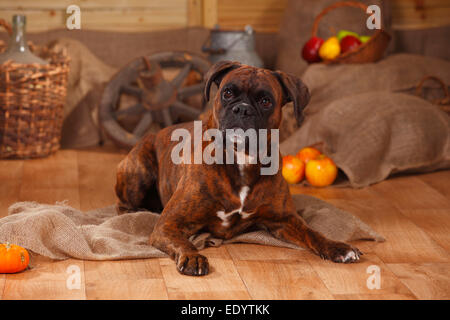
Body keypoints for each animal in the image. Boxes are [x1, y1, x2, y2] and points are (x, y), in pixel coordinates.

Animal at [115, 61, 362, 276]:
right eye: (227, 93)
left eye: (265, 101)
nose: (242, 109)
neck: (241, 158)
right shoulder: (168, 225)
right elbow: (183, 242)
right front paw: (193, 257)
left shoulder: (285, 220)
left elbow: (313, 232)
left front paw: (338, 247)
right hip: (139, 170)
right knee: (122, 205)